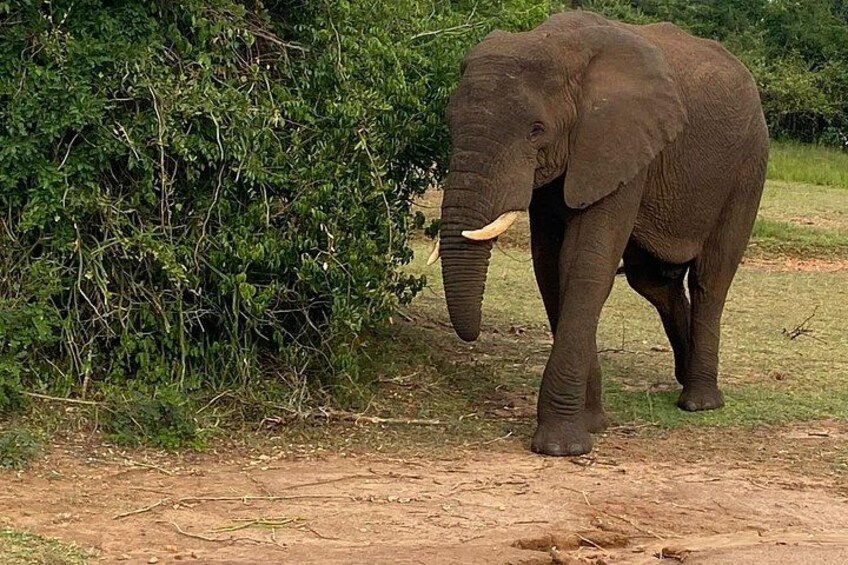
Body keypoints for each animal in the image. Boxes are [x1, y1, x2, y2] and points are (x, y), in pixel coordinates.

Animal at [429, 11, 768, 456]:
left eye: (536, 130)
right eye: (449, 124)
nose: (472, 335)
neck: (557, 45)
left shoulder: (620, 142)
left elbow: (584, 264)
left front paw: (562, 447)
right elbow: (551, 268)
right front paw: (593, 424)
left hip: (748, 167)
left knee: (712, 278)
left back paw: (699, 402)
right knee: (653, 280)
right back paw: (683, 374)